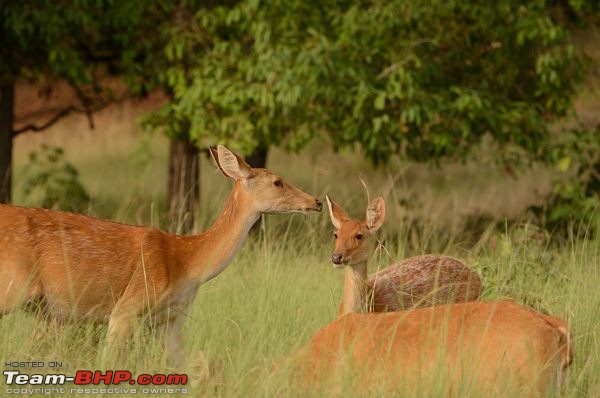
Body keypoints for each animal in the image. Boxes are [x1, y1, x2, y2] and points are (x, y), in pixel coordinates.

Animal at [0, 145, 324, 360]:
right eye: (277, 182)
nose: (317, 202)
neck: (187, 263)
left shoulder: (171, 320)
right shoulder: (126, 308)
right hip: (14, 285)